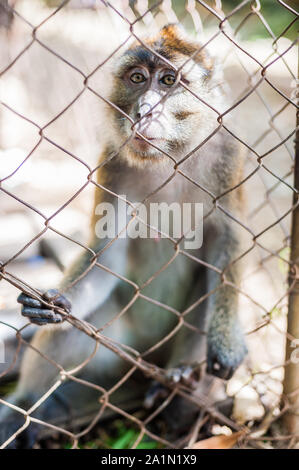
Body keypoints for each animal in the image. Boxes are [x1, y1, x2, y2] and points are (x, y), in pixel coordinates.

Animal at [0, 24, 248, 448]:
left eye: (168, 81)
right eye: (137, 79)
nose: (145, 109)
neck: (170, 158)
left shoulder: (228, 156)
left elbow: (227, 244)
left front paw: (227, 339)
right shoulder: (113, 162)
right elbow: (106, 254)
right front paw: (55, 303)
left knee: (205, 285)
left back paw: (180, 377)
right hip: (120, 343)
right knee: (70, 336)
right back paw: (28, 407)